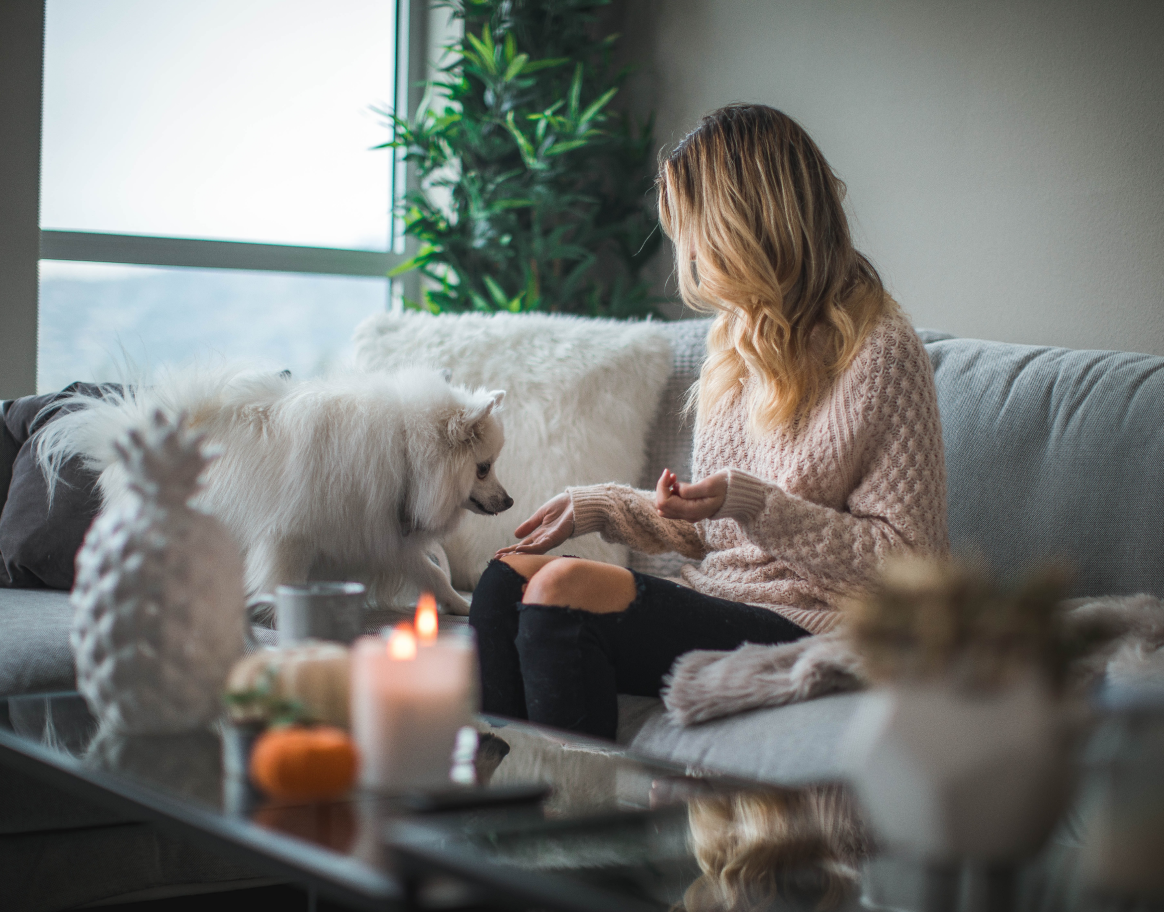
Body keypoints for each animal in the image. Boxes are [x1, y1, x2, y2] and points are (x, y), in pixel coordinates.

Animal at [37, 365, 509, 614]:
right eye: (483, 469)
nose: (510, 501)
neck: (405, 452)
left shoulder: (380, 534)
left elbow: (432, 573)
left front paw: (461, 606)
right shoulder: (290, 536)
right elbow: (282, 580)